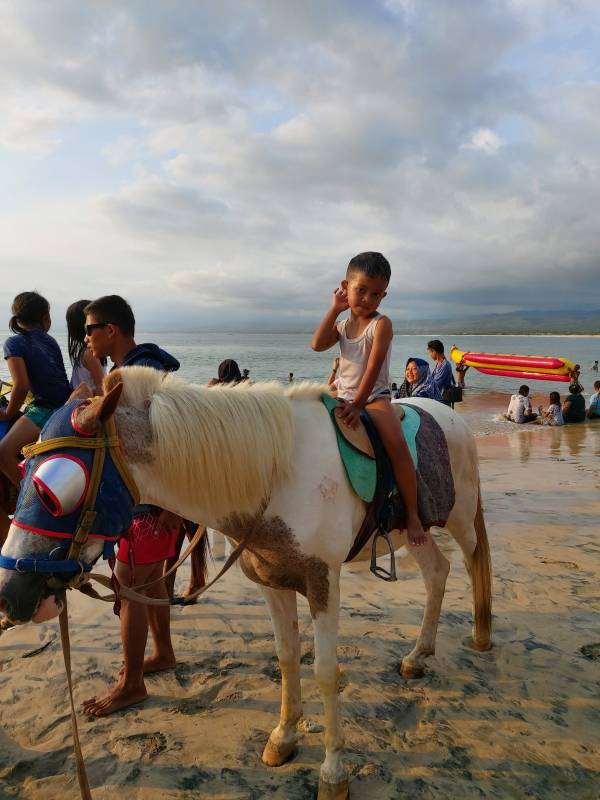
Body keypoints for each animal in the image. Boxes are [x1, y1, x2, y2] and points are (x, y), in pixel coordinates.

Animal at [0, 370, 490, 800]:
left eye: (51, 491)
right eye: (22, 468)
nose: (10, 595)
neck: (279, 474)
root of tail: (450, 417)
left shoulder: (322, 581)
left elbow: (325, 672)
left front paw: (333, 773)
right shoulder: (273, 581)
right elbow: (288, 657)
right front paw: (283, 738)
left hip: (461, 517)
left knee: (472, 562)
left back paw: (480, 634)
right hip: (414, 530)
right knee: (437, 572)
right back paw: (418, 654)